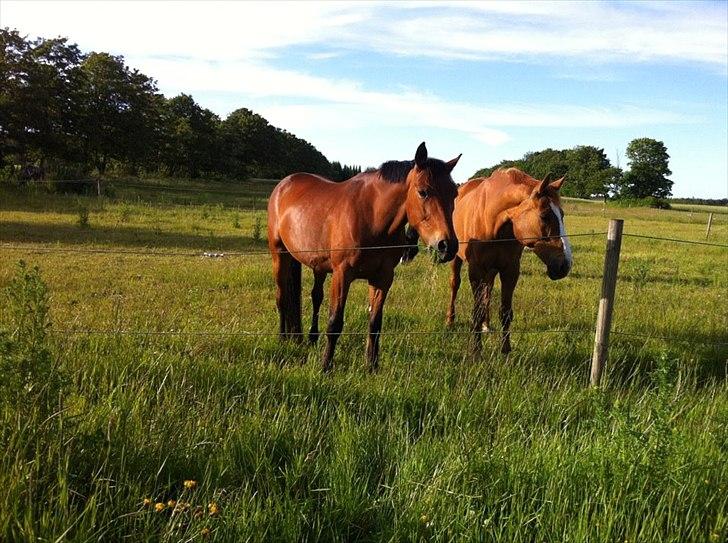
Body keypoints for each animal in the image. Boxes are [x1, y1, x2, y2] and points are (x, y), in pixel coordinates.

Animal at [268, 142, 460, 372]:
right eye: (423, 192)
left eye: (454, 194)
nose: (447, 246)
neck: (371, 217)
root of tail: (284, 184)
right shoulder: (342, 275)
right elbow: (335, 322)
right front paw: (326, 366)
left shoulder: (383, 278)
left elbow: (375, 323)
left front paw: (372, 366)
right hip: (280, 255)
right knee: (282, 297)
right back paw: (282, 338)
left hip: (317, 265)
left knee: (316, 297)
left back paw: (311, 338)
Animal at [446, 170, 572, 356]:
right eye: (544, 216)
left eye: (562, 215)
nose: (565, 265)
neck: (493, 221)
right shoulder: (476, 270)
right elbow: (476, 311)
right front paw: (476, 352)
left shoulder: (510, 270)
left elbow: (505, 312)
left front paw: (505, 352)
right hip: (458, 260)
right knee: (455, 284)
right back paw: (450, 321)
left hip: (491, 270)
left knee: (488, 290)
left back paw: (486, 324)